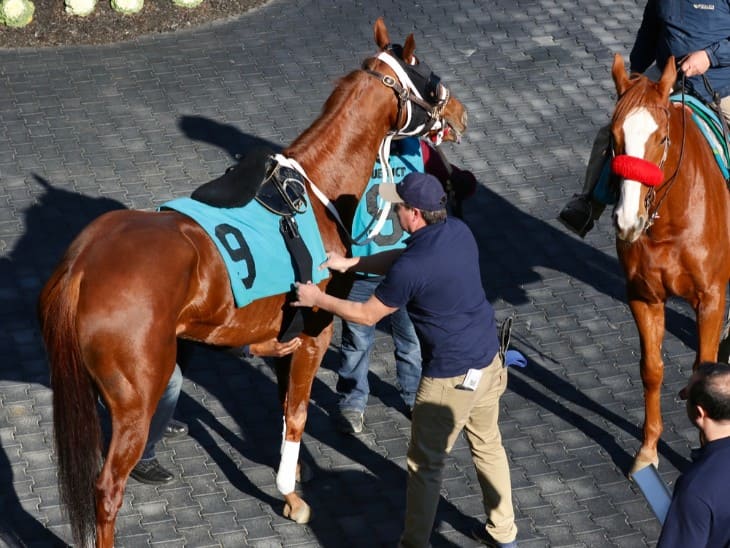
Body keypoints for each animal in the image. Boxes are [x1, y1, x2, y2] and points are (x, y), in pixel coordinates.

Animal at [37, 18, 464, 548]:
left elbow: (283, 411)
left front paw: (293, 479)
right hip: (136, 397)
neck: (315, 188)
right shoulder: (314, 336)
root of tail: (82, 266)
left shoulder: (283, 341)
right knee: (108, 487)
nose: (460, 113)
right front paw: (293, 497)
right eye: (429, 77)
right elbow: (297, 417)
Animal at [608, 53, 728, 474]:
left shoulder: (711, 298)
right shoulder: (644, 296)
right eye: (614, 138)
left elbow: (704, 368)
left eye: (661, 138)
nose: (628, 220)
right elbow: (651, 369)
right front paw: (648, 449)